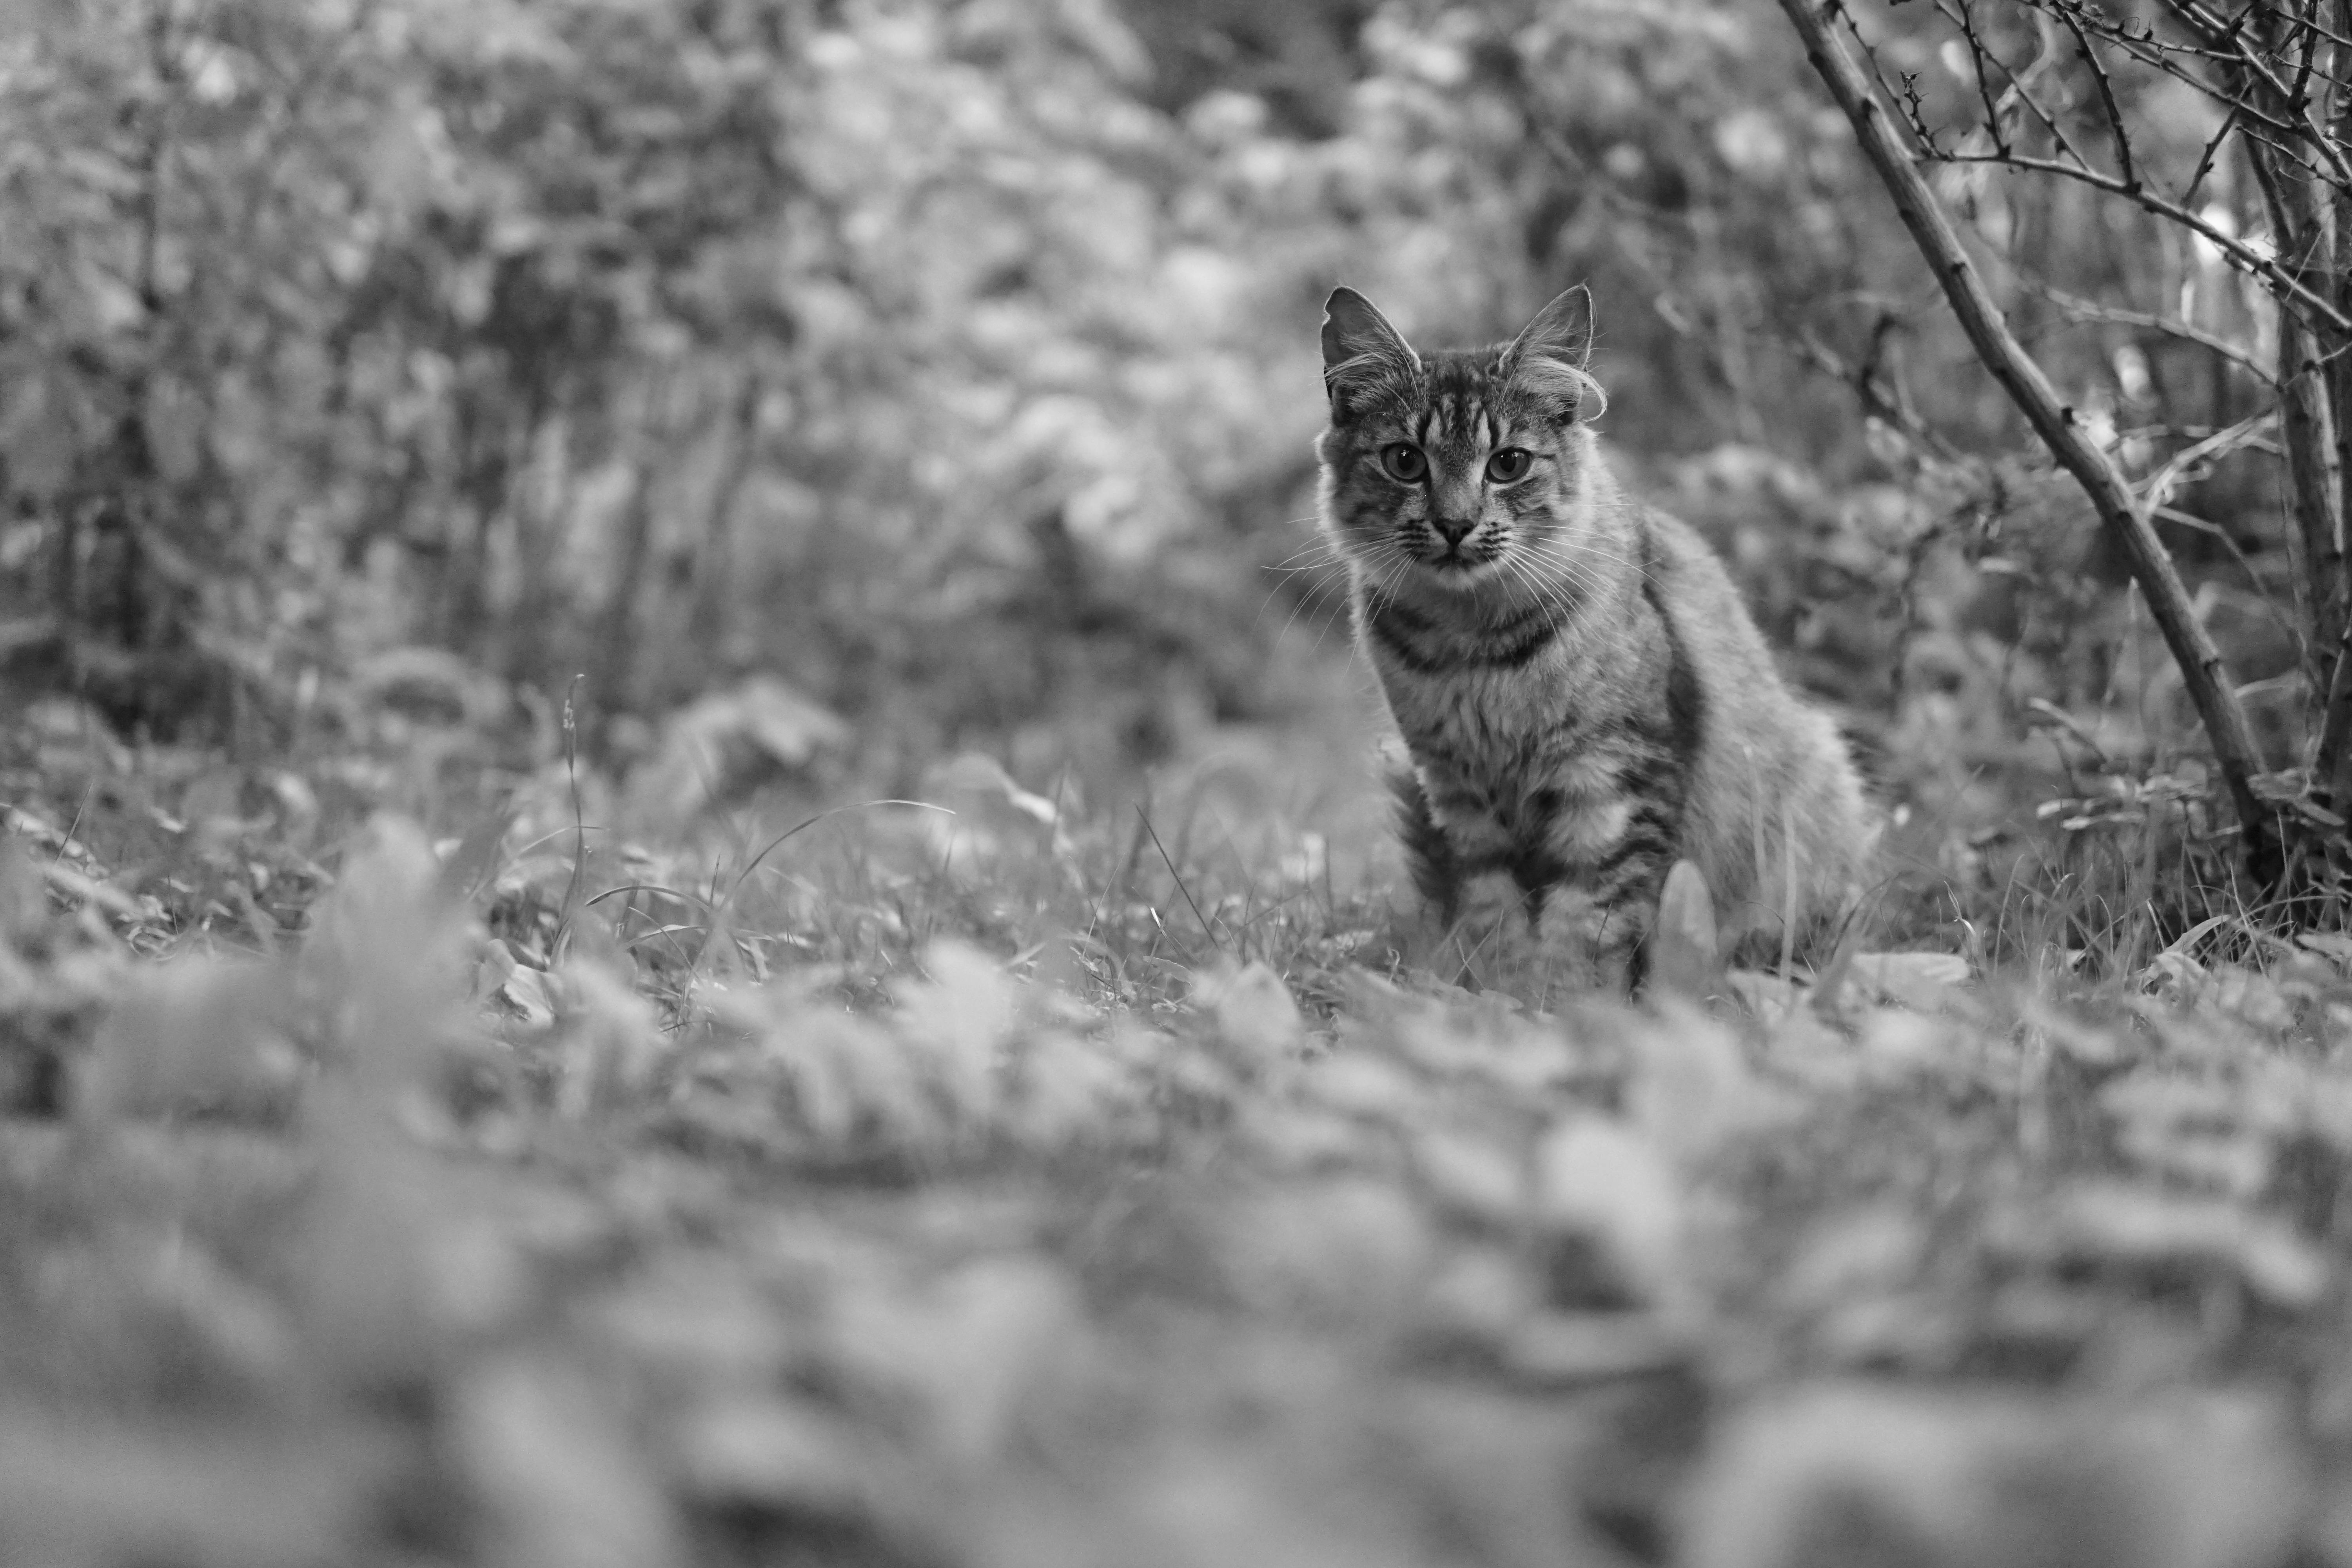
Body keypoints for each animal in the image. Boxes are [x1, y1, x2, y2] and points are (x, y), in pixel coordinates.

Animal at [1317, 282, 1863, 992]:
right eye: (1405, 461)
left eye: (1508, 464)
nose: (1456, 525)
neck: (1474, 647)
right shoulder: (1458, 791)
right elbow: (1494, 907)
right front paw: (1498, 990)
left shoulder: (1611, 777)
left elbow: (1586, 916)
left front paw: (1560, 1000)